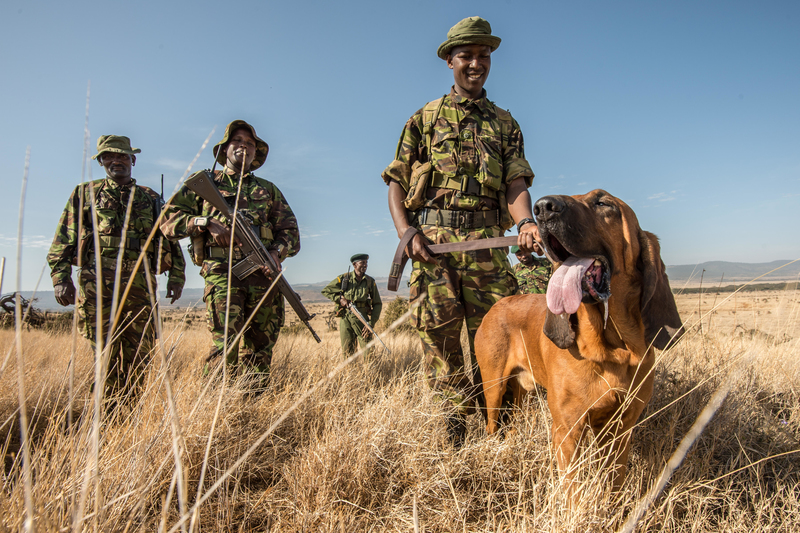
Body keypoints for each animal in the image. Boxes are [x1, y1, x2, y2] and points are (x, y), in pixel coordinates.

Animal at [476, 190, 680, 490]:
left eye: (603, 203)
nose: (542, 208)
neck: (612, 347)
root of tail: (496, 305)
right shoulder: (568, 429)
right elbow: (571, 489)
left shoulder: (620, 428)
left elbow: (615, 481)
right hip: (494, 386)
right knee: (491, 424)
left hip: (522, 392)